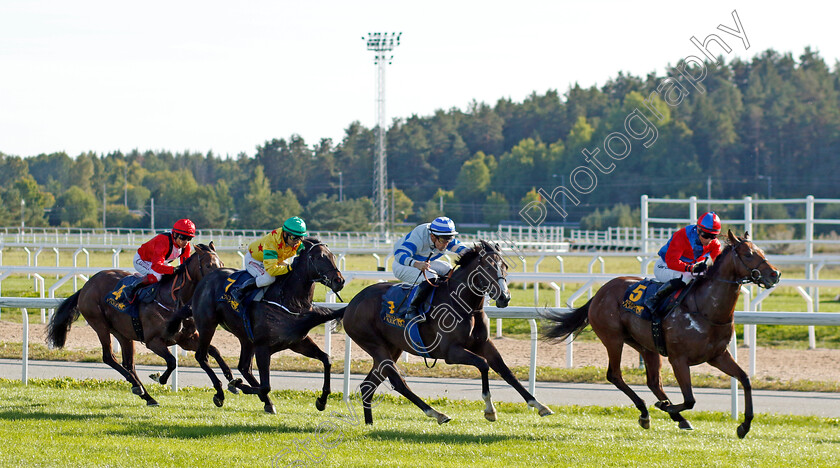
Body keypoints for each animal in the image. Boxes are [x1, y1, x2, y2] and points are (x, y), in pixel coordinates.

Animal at [47, 243, 235, 404]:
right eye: (209, 265)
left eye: (222, 263)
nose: (222, 280)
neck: (174, 300)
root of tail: (86, 286)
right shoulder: (153, 341)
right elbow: (172, 361)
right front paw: (160, 377)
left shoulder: (186, 339)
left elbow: (214, 351)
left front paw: (229, 381)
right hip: (99, 324)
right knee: (108, 357)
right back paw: (138, 386)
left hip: (123, 333)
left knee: (129, 364)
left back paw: (147, 395)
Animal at [177, 238, 344, 414]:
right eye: (319, 257)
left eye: (332, 256)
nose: (339, 281)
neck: (290, 300)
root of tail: (206, 278)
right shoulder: (263, 347)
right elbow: (266, 386)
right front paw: (237, 384)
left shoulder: (298, 342)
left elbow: (326, 359)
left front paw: (322, 400)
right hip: (207, 326)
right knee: (202, 356)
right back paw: (220, 392)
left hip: (245, 338)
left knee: (244, 367)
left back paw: (265, 401)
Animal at [344, 239, 556, 426]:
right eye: (487, 268)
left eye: (504, 266)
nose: (505, 297)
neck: (464, 306)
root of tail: (351, 304)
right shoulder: (451, 353)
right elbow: (483, 364)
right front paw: (490, 410)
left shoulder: (484, 344)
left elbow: (506, 371)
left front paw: (539, 405)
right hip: (375, 344)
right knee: (398, 382)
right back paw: (436, 413)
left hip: (392, 348)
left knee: (368, 386)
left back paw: (370, 424)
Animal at [544, 231, 780, 438]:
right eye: (748, 254)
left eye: (762, 251)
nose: (775, 274)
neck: (705, 309)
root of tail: (600, 292)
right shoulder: (679, 359)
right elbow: (690, 399)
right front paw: (666, 407)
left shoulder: (717, 355)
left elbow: (745, 379)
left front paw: (744, 426)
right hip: (613, 338)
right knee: (615, 375)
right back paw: (647, 411)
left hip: (646, 345)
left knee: (653, 382)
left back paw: (671, 417)